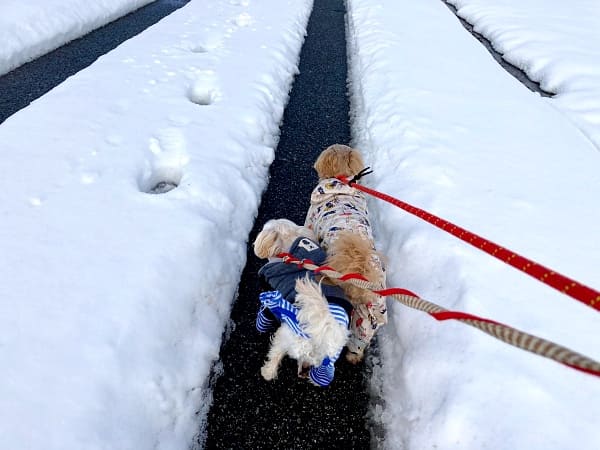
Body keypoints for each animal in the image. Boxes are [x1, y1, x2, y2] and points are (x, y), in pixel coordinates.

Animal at [253, 218, 352, 386]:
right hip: (326, 357)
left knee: (276, 352)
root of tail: (324, 325)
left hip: (286, 334)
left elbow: (264, 317)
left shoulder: (272, 302)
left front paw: (260, 327)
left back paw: (267, 372)